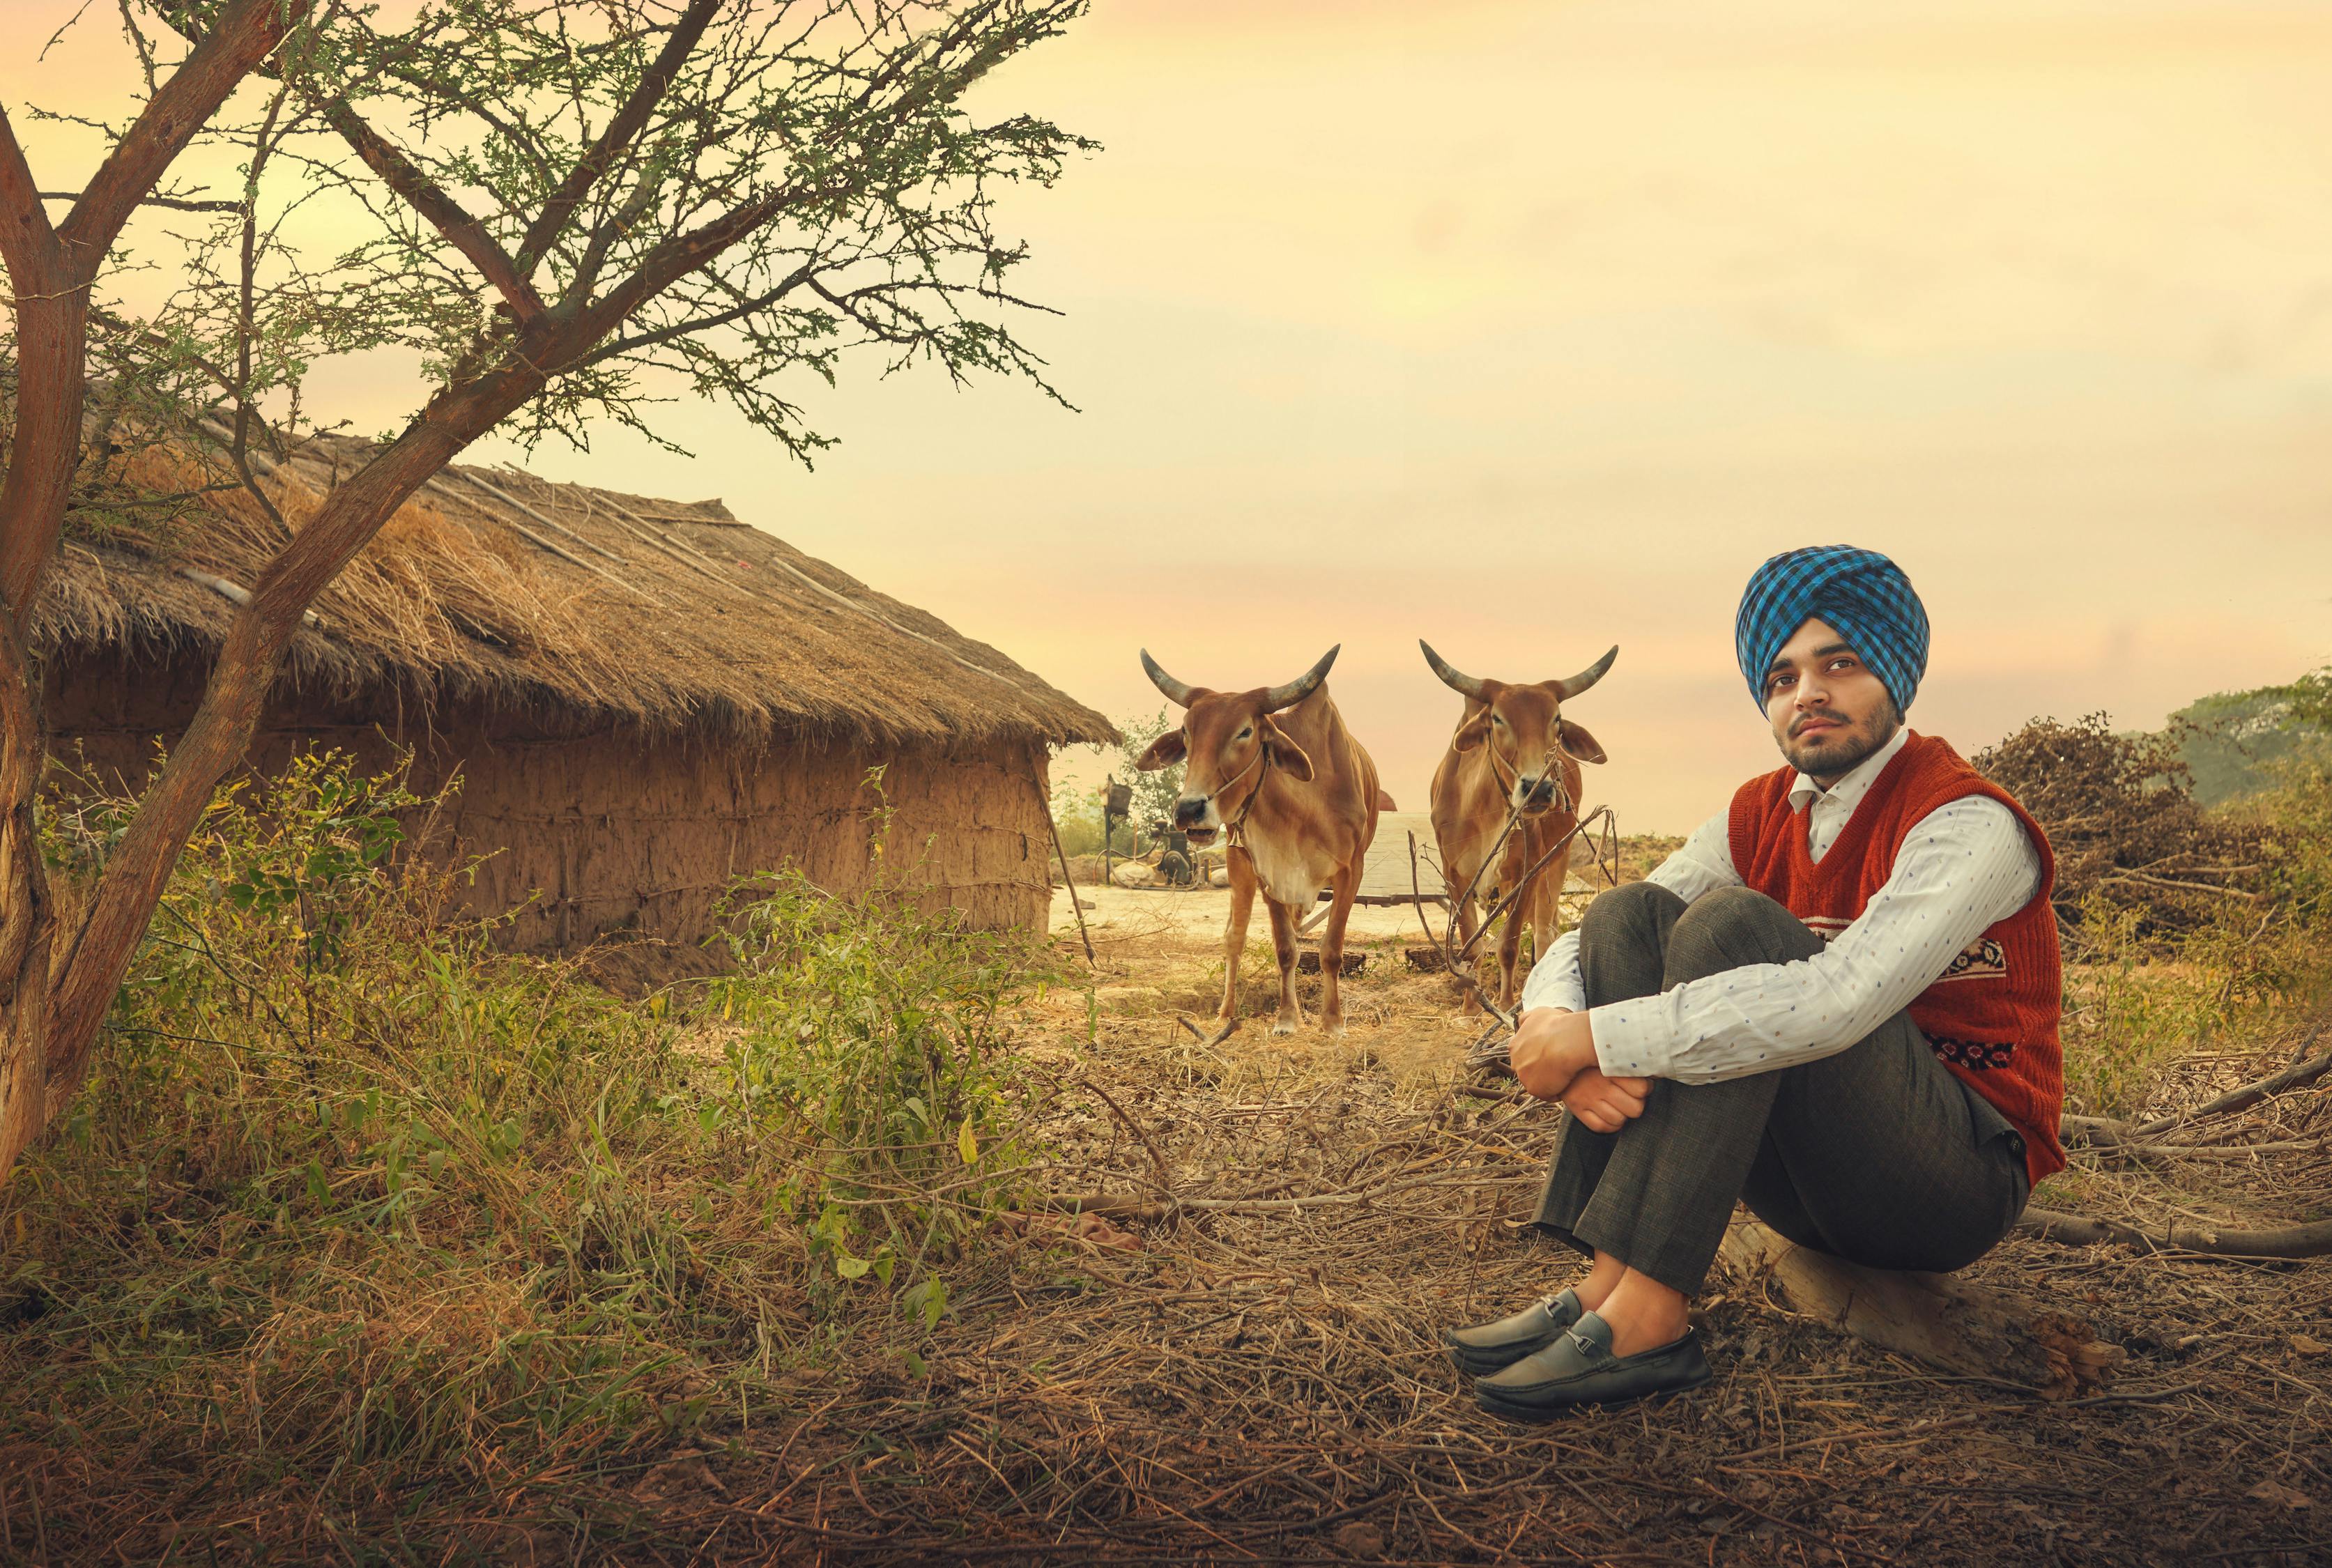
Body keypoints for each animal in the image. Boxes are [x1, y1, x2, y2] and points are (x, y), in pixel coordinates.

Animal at [1133, 644, 1371, 1036]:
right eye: (1186, 732)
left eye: (1245, 732)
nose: (1189, 809)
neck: (1306, 808)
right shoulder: (1268, 872)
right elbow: (1286, 950)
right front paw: (1288, 1019)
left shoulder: (1351, 871)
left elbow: (1331, 950)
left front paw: (1333, 1022)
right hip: (1238, 865)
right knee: (1235, 938)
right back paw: (1226, 1012)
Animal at [1418, 639, 1623, 1017]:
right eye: (1497, 718)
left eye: (1556, 719)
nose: (1538, 789)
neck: (1484, 812)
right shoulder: (1455, 875)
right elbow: (1471, 945)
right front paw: (1470, 1009)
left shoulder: (1527, 873)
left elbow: (1508, 945)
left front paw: (1504, 1004)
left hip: (1557, 860)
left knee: (1544, 933)